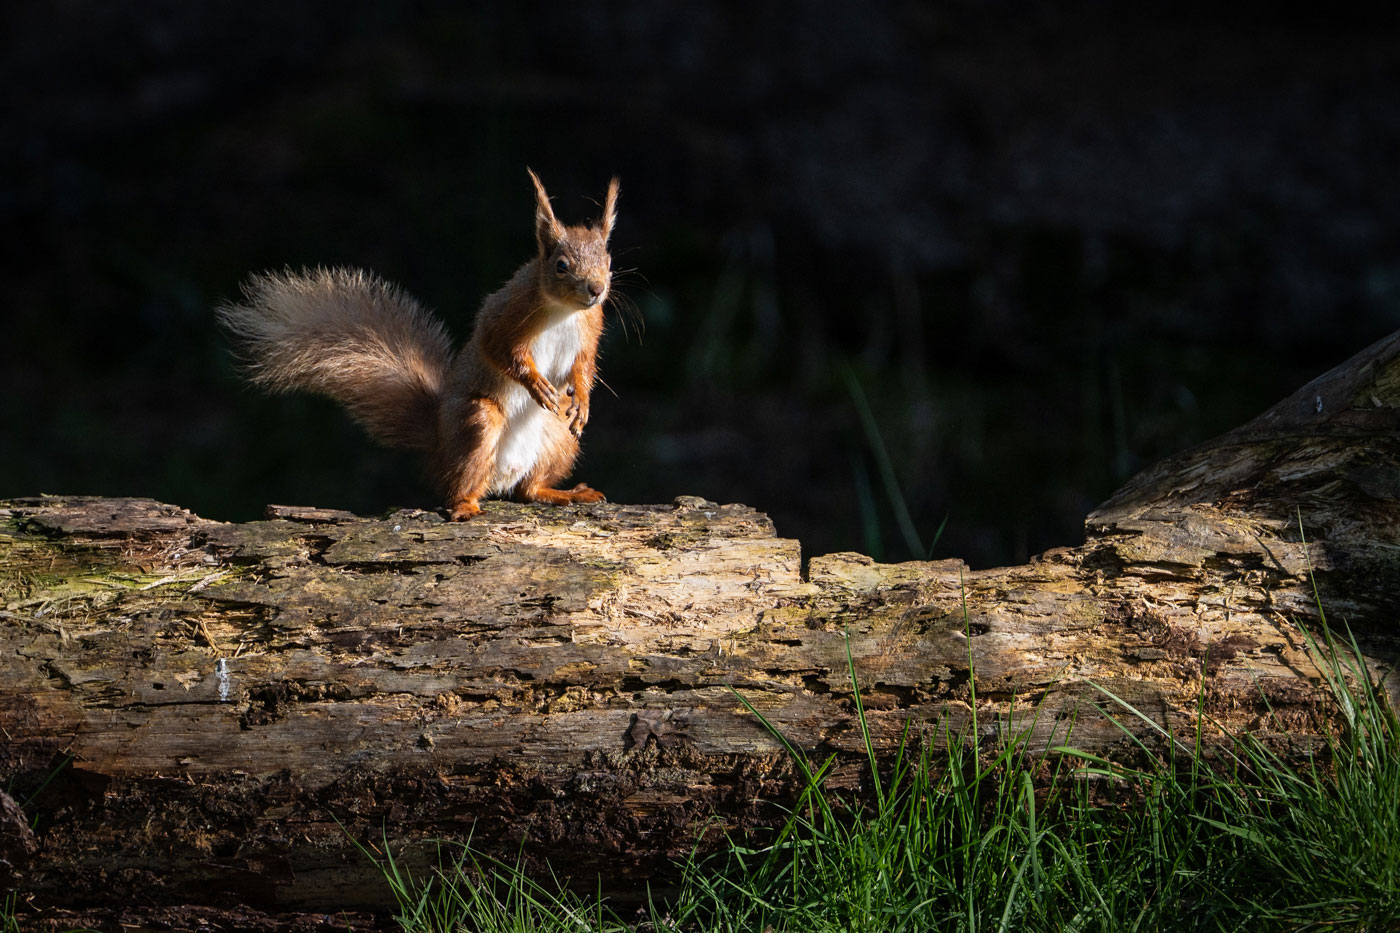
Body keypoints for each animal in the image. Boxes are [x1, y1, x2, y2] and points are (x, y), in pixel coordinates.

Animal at [218, 168, 620, 521]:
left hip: (560, 438)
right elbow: (500, 350)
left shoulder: (590, 329)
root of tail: (440, 445)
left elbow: (585, 366)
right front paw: (535, 383)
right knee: (460, 484)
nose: (596, 289)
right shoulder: (505, 315)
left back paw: (563, 491)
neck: (563, 311)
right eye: (561, 265)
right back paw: (464, 505)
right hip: (478, 422)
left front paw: (583, 399)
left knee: (528, 490)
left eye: (608, 260)